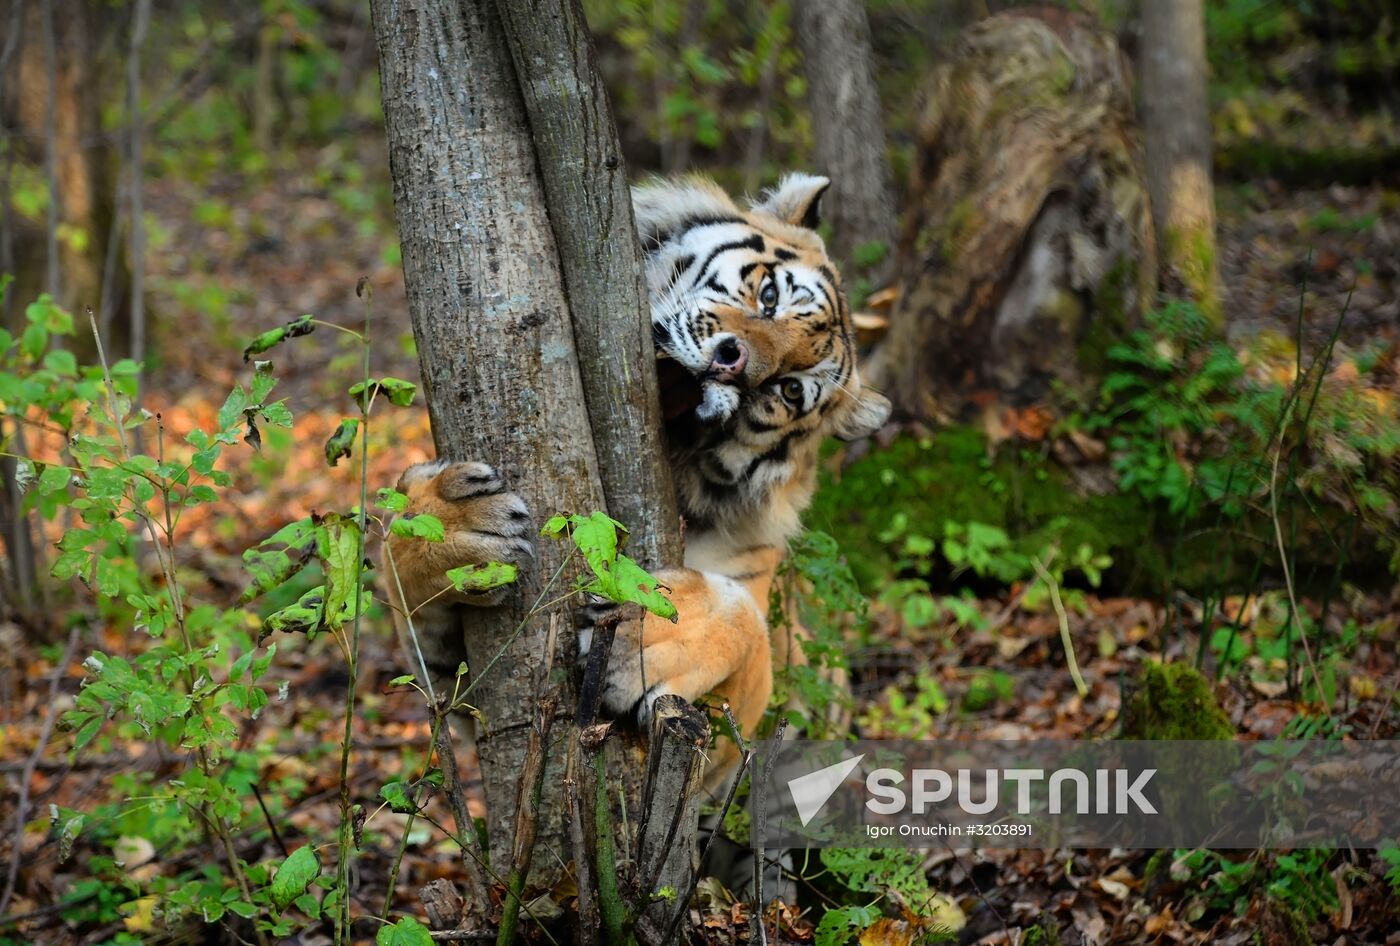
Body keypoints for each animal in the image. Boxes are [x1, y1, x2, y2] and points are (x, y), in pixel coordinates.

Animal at [386, 175, 884, 789]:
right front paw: (457, 528)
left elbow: (745, 619)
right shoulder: (452, 691)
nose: (734, 363)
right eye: (769, 296)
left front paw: (642, 637)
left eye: (789, 390)